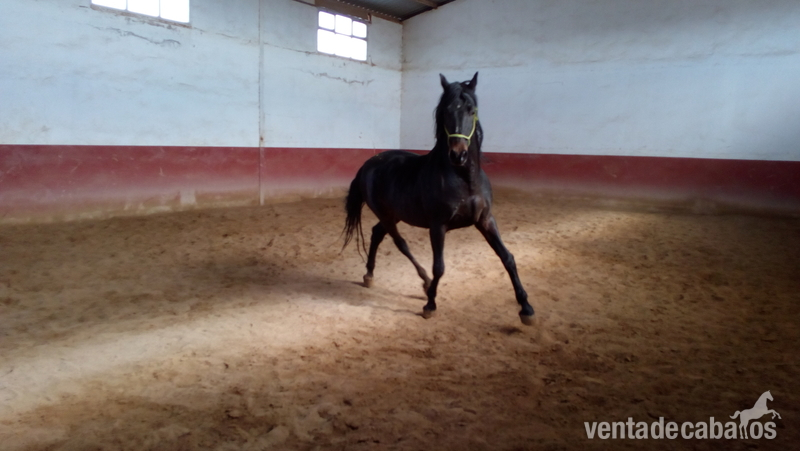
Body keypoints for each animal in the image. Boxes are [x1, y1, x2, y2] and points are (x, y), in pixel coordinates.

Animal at [342, 72, 534, 325]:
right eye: (445, 111)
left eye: (472, 110)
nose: (458, 154)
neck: (464, 180)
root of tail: (368, 164)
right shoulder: (438, 226)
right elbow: (439, 267)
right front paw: (430, 305)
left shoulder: (485, 220)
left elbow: (507, 257)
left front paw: (526, 308)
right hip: (386, 215)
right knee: (400, 243)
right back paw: (422, 282)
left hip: (394, 214)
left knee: (376, 234)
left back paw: (370, 274)